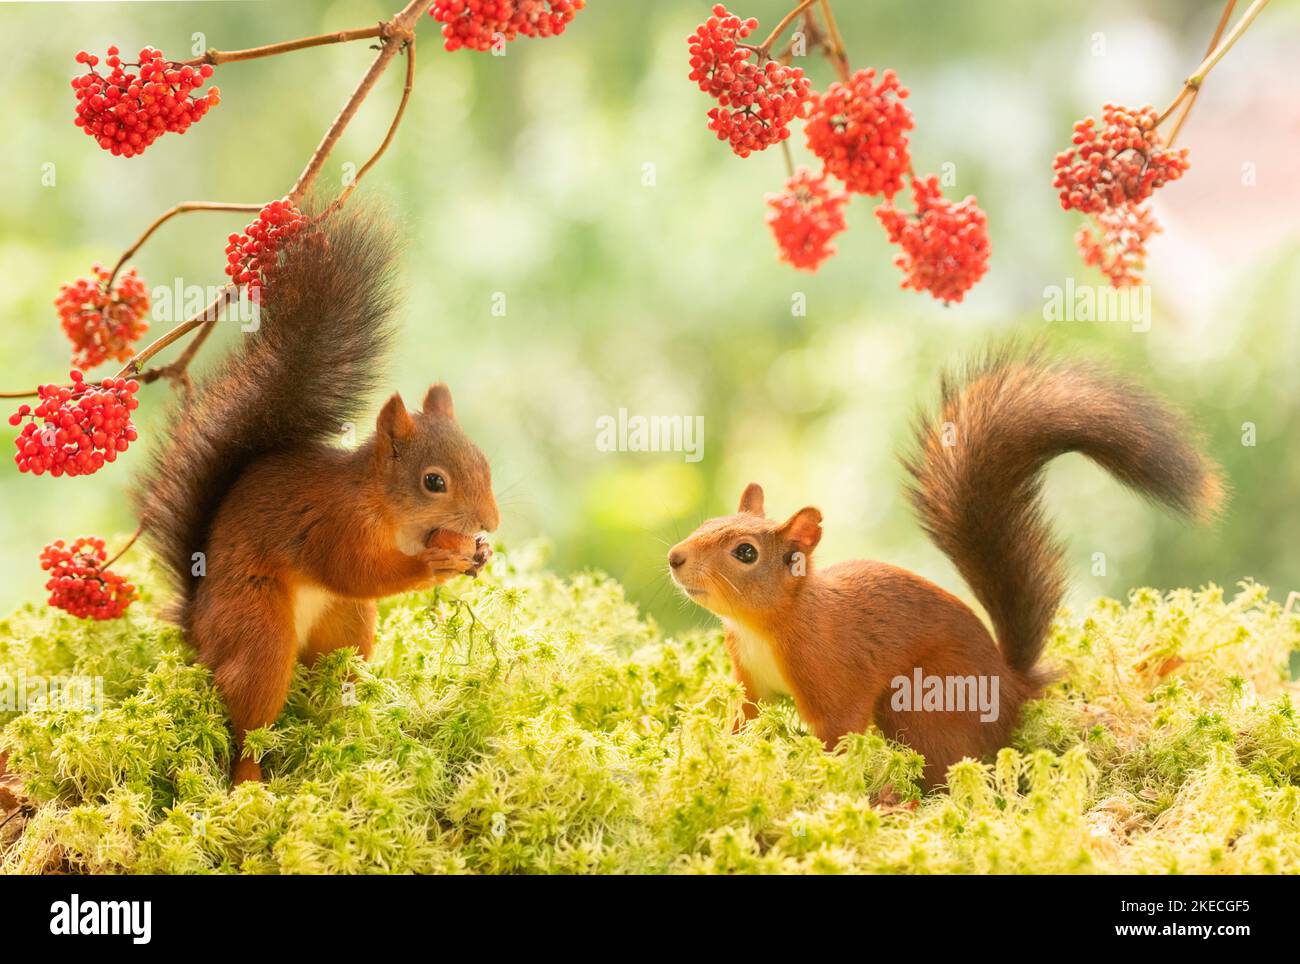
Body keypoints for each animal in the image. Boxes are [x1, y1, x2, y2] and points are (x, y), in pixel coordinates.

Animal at [133, 205, 496, 784]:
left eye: (483, 462)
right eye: (434, 482)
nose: (491, 521)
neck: (388, 511)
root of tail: (198, 630)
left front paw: (479, 554)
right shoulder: (332, 523)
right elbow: (354, 570)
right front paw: (430, 567)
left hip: (347, 627)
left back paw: (339, 729)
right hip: (257, 629)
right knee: (247, 716)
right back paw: (250, 783)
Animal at [665, 350, 1222, 789]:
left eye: (745, 553)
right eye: (706, 522)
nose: (674, 557)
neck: (764, 626)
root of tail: (1013, 687)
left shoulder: (832, 674)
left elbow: (839, 736)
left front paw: (825, 785)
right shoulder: (749, 681)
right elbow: (746, 719)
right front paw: (727, 748)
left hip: (922, 702)